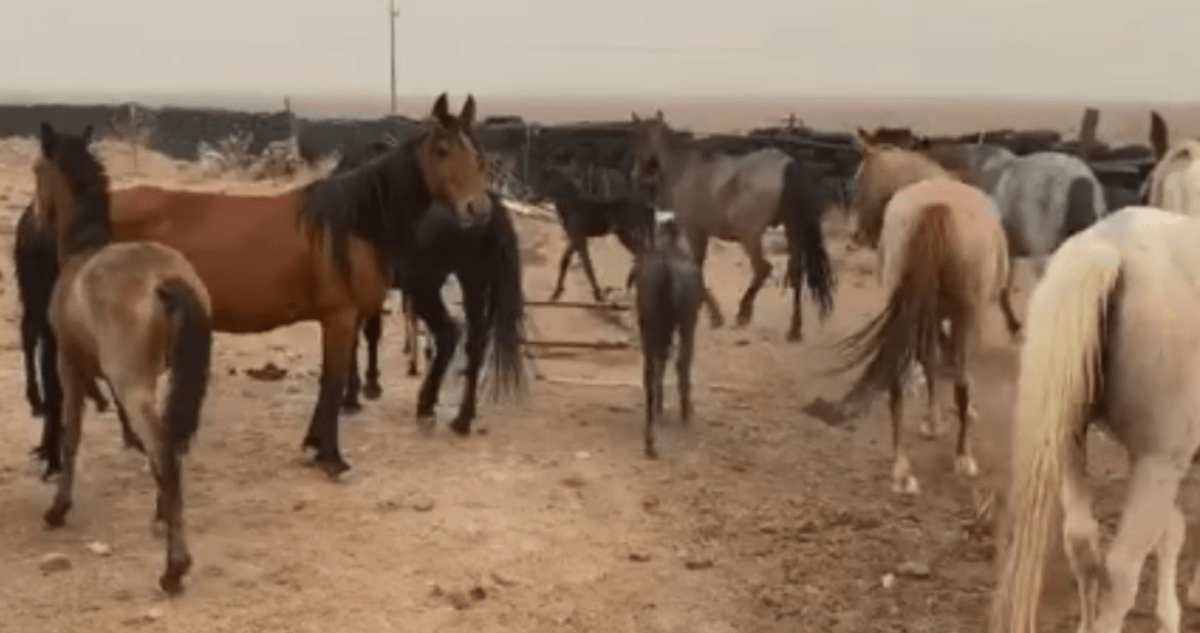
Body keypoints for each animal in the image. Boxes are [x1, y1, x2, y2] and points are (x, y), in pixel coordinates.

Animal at [31, 122, 214, 594]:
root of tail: (163, 280)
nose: (38, 217)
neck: (83, 253)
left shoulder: (70, 366)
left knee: (163, 450)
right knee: (169, 445)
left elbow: (71, 435)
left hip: (132, 385)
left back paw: (173, 568)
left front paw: (58, 508)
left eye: (38, 168)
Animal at [36, 92, 492, 479]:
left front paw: (314, 444)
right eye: (442, 150)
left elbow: (331, 381)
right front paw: (331, 457)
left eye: (476, 153)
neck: (353, 221)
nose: (478, 209)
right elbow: (332, 382)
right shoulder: (340, 318)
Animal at [628, 111, 835, 342]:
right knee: (796, 273)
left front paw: (715, 315)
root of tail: (788, 166)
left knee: (763, 268)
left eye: (638, 138)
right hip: (792, 231)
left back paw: (744, 313)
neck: (685, 167)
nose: (636, 177)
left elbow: (696, 267)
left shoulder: (695, 231)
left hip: (750, 236)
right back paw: (794, 329)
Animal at [835, 175, 1012, 496]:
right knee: (961, 380)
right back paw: (963, 457)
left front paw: (932, 421)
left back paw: (901, 470)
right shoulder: (968, 319)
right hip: (967, 315)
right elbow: (955, 371)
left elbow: (929, 363)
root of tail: (936, 205)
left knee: (897, 385)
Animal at [988, 206, 1200, 633]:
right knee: (1121, 572)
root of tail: (1109, 248)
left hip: (1069, 441)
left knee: (1082, 546)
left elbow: (1172, 531)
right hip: (1158, 463)